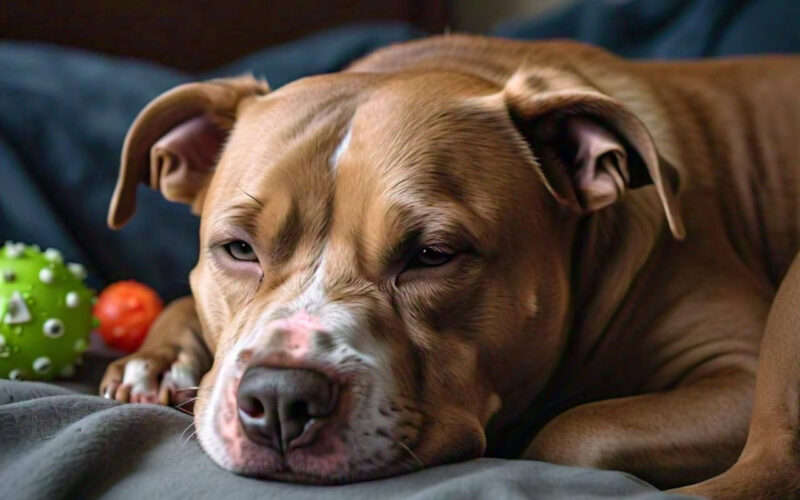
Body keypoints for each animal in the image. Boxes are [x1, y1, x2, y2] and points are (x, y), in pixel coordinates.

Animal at [100, 36, 800, 496]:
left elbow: (575, 433)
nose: (279, 397)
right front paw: (155, 361)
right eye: (239, 249)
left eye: (432, 256)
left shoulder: (737, 373)